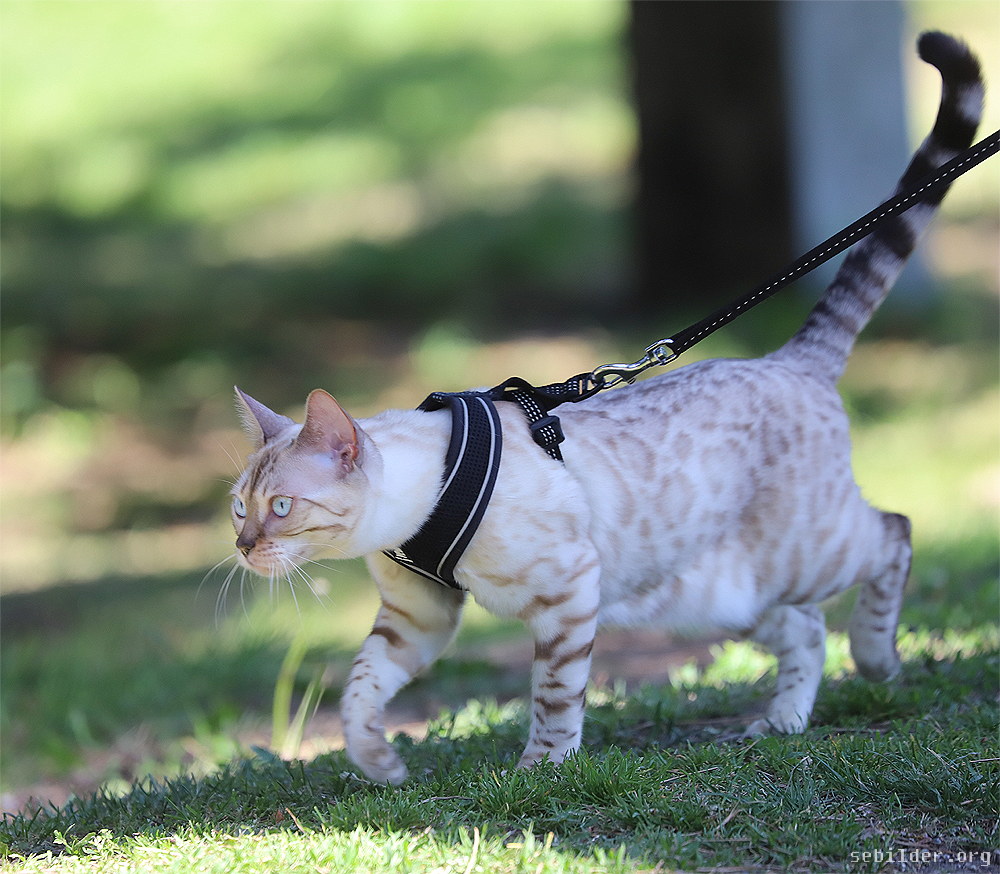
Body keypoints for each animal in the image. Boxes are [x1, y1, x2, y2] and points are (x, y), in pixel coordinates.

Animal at [229, 32, 983, 785]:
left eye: (282, 508)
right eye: (239, 509)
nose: (242, 548)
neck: (411, 522)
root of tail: (789, 357)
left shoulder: (567, 591)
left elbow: (554, 696)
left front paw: (541, 769)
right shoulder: (416, 618)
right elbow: (360, 689)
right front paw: (380, 764)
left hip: (809, 549)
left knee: (892, 535)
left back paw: (877, 660)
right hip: (720, 592)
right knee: (807, 626)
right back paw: (781, 722)